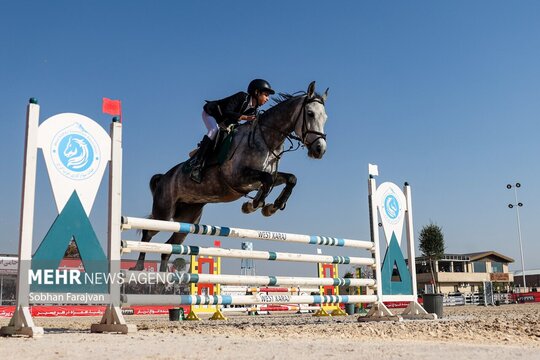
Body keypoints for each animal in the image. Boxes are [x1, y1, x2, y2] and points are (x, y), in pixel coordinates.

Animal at [133, 81, 332, 272]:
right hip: (164, 212)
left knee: (168, 248)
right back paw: (139, 267)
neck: (267, 138)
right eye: (310, 113)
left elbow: (290, 179)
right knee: (147, 233)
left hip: (187, 219)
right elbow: (266, 183)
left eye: (325, 117)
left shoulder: (263, 178)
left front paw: (272, 206)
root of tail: (163, 177)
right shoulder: (237, 177)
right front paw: (253, 205)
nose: (320, 150)